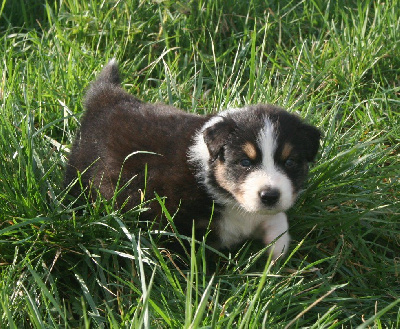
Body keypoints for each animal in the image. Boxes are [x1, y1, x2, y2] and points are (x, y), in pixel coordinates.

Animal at [66, 59, 322, 258]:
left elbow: (278, 220)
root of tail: (106, 96)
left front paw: (277, 250)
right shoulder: (175, 221)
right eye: (245, 162)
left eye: (290, 162)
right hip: (82, 174)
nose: (269, 196)